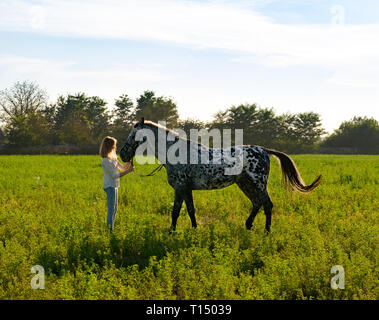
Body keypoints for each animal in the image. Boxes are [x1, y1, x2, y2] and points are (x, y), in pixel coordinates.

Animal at [120, 119, 322, 234]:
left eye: (133, 134)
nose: (122, 154)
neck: (176, 152)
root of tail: (264, 150)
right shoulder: (186, 189)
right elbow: (191, 210)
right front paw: (195, 230)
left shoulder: (180, 187)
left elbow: (176, 211)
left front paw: (171, 232)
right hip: (245, 184)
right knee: (257, 203)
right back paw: (248, 226)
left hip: (258, 183)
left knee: (267, 204)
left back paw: (266, 232)